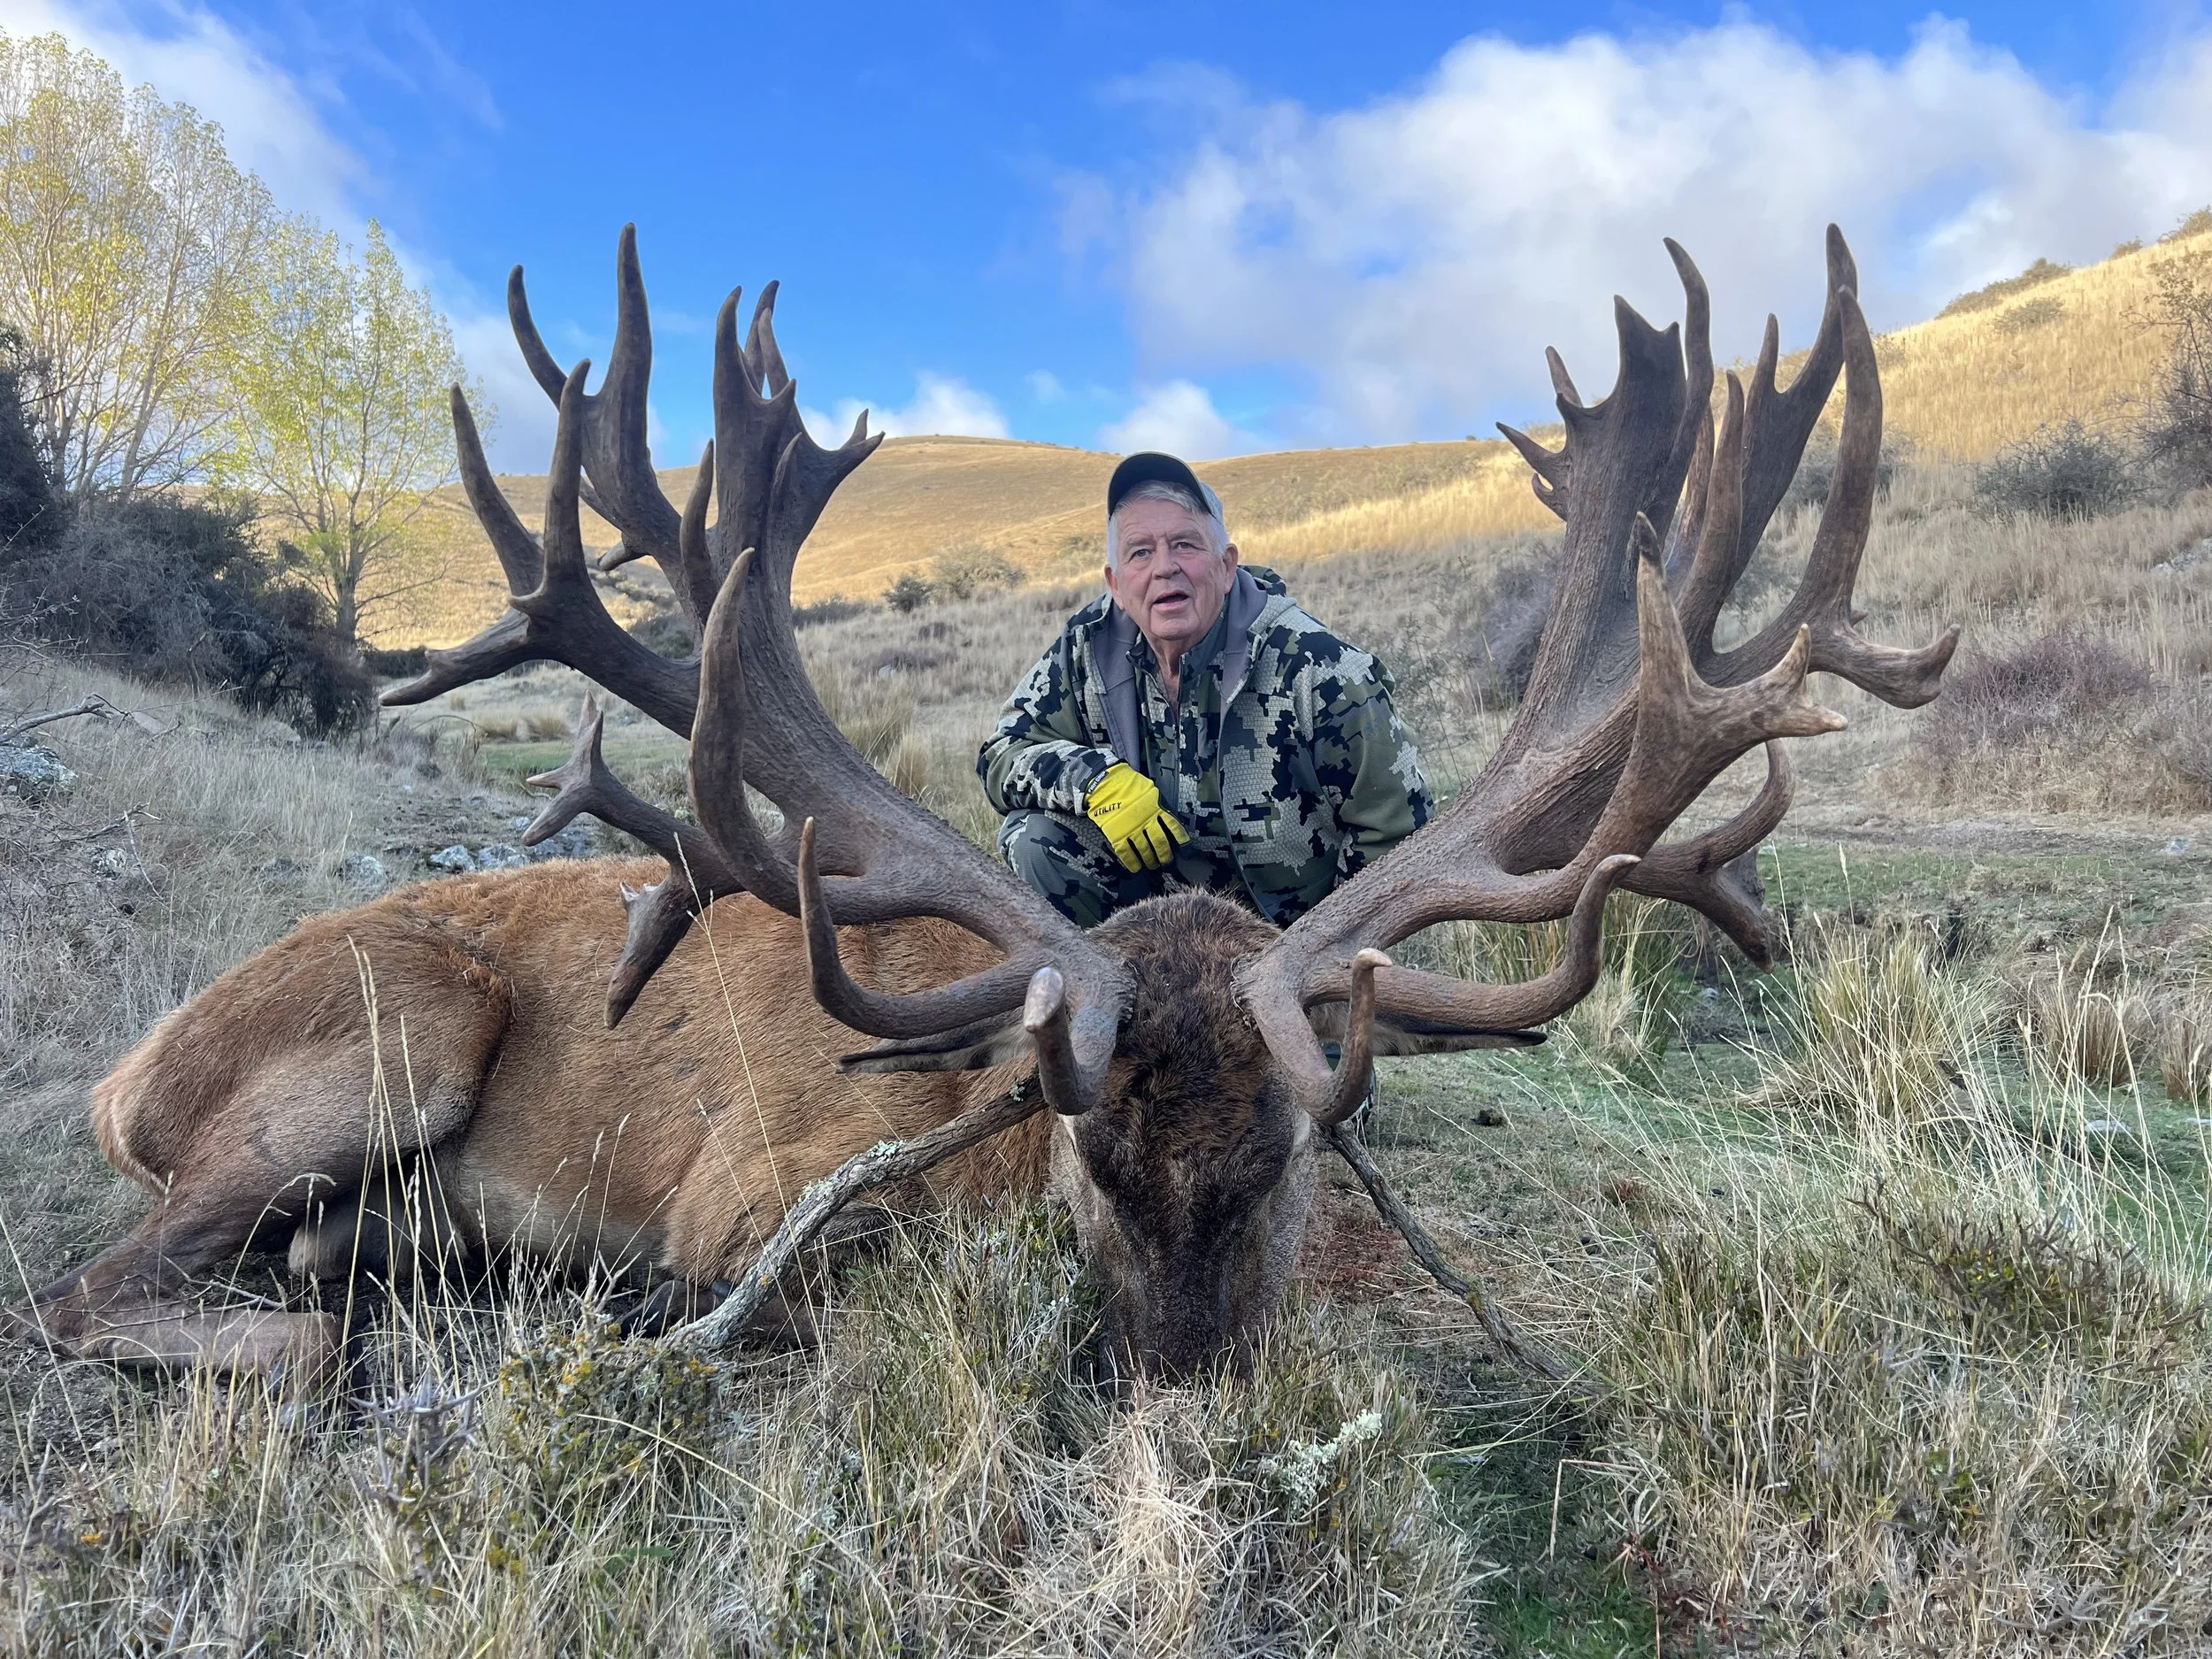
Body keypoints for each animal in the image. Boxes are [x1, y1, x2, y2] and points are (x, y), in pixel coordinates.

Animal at [13, 225, 1955, 1387]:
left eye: (1283, 1164)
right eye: (1090, 1161)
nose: (1181, 1384)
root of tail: (124, 1075)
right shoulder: (744, 1203)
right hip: (392, 1028)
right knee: (89, 1292)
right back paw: (350, 1319)